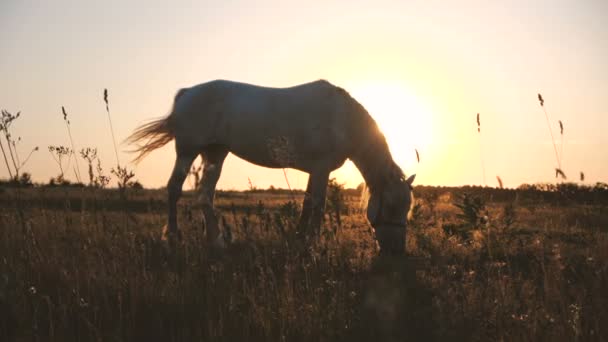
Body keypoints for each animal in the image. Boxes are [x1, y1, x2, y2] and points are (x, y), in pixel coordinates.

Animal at [126, 80, 416, 255]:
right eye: (391, 206)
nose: (396, 251)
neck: (341, 118)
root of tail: (187, 92)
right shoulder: (321, 169)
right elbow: (318, 206)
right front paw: (314, 243)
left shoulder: (314, 171)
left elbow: (306, 205)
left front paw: (300, 239)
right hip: (187, 151)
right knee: (174, 189)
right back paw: (173, 238)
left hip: (216, 154)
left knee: (205, 195)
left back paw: (216, 241)